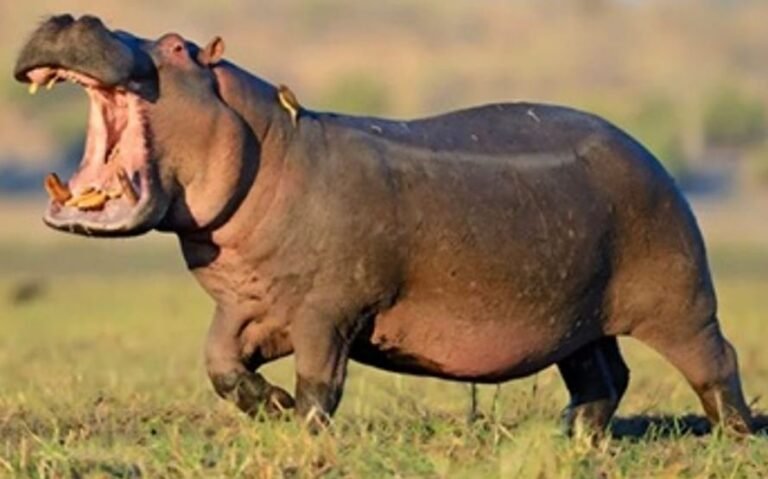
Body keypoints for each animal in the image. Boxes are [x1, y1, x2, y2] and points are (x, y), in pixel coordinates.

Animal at [14, 14, 753, 435]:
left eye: (175, 46)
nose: (74, 13)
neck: (267, 141)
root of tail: (648, 151)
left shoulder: (326, 310)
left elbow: (321, 381)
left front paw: (304, 431)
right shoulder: (247, 305)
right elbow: (220, 364)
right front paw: (271, 408)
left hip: (681, 296)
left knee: (717, 361)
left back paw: (736, 435)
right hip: (576, 314)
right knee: (603, 374)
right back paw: (571, 434)